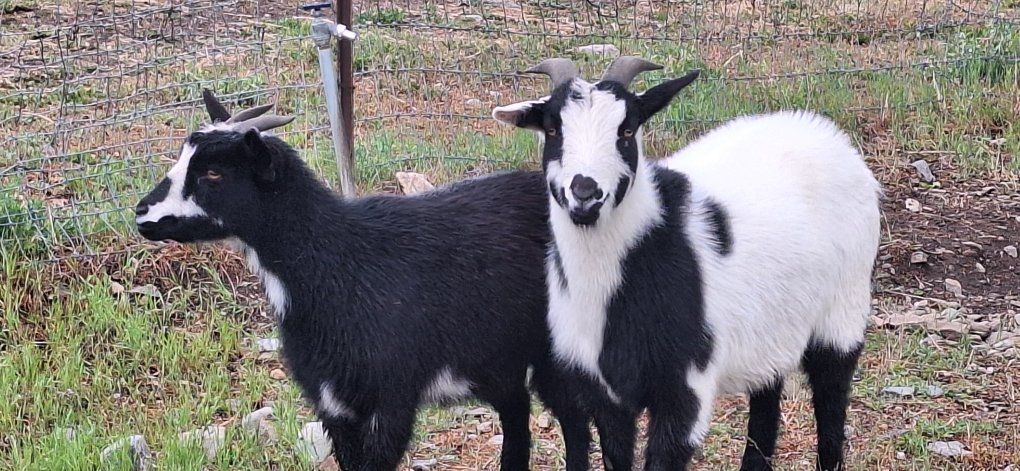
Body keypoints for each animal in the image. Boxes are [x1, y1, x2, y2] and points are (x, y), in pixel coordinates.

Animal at [134, 90, 594, 470]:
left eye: (213, 173)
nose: (142, 214)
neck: (337, 264)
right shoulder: (334, 404)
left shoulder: (391, 398)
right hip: (497, 357)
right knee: (518, 417)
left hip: (558, 348)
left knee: (574, 423)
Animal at [493, 57, 881, 471]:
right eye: (552, 130)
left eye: (626, 131)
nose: (585, 192)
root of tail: (825, 132)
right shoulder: (606, 395)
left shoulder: (684, 391)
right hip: (770, 328)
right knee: (766, 398)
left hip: (845, 305)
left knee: (831, 396)